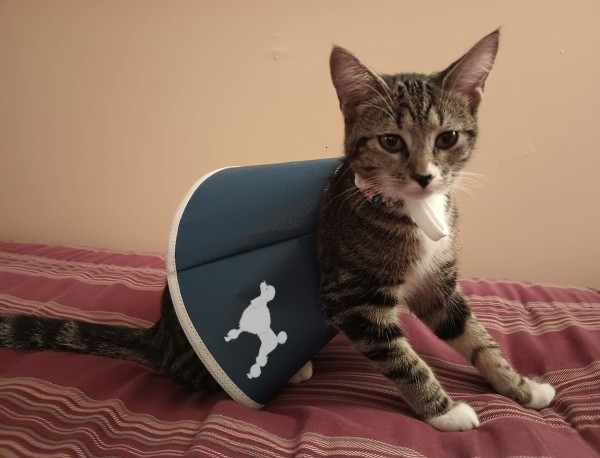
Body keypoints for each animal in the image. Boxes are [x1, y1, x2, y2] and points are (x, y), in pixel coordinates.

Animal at [0, 30, 556, 432]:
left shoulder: (436, 286)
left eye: (447, 138)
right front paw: (445, 410)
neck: (416, 213)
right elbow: (403, 357)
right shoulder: (350, 296)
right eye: (391, 141)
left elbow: (476, 338)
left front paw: (522, 387)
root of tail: (159, 336)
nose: (424, 175)